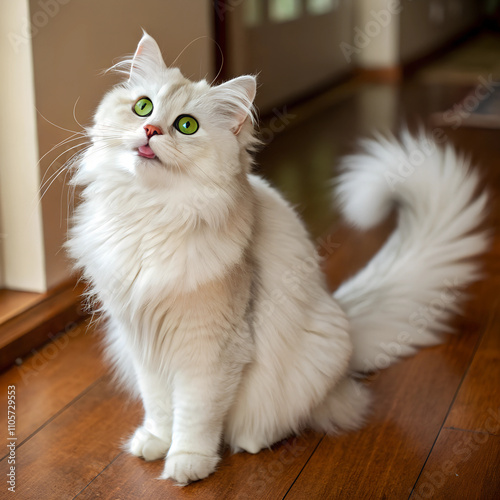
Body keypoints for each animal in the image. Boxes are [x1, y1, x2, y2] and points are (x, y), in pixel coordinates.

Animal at [64, 32, 486, 484]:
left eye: (186, 125)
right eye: (143, 107)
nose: (149, 129)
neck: (150, 215)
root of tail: (343, 316)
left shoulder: (209, 346)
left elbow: (194, 413)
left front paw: (188, 462)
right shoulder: (142, 340)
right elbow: (160, 404)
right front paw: (157, 441)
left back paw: (254, 440)